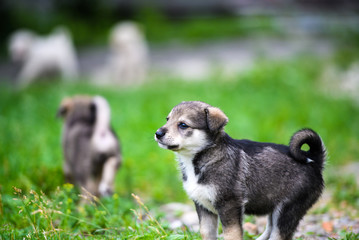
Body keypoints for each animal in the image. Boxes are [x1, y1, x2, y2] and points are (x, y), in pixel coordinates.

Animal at [154, 101, 326, 240]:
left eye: (183, 125)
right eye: (167, 119)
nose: (158, 133)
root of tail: (313, 160)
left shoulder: (229, 205)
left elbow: (232, 235)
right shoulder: (203, 207)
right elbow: (206, 233)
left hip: (287, 210)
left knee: (278, 235)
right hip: (274, 207)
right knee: (270, 229)